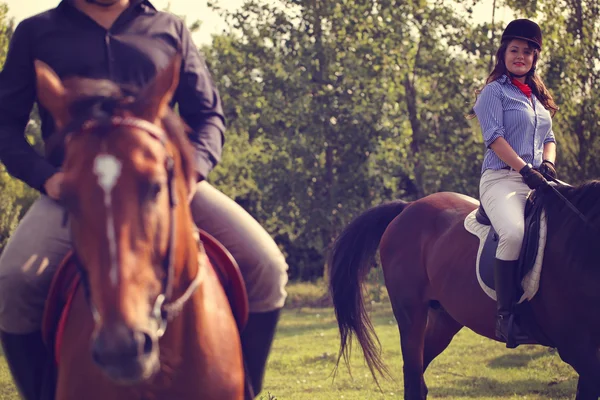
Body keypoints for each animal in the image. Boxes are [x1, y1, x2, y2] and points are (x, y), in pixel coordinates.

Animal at [330, 188, 600, 400]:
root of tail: (407, 208)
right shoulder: (579, 350)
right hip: (410, 316)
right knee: (413, 381)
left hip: (445, 319)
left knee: (419, 379)